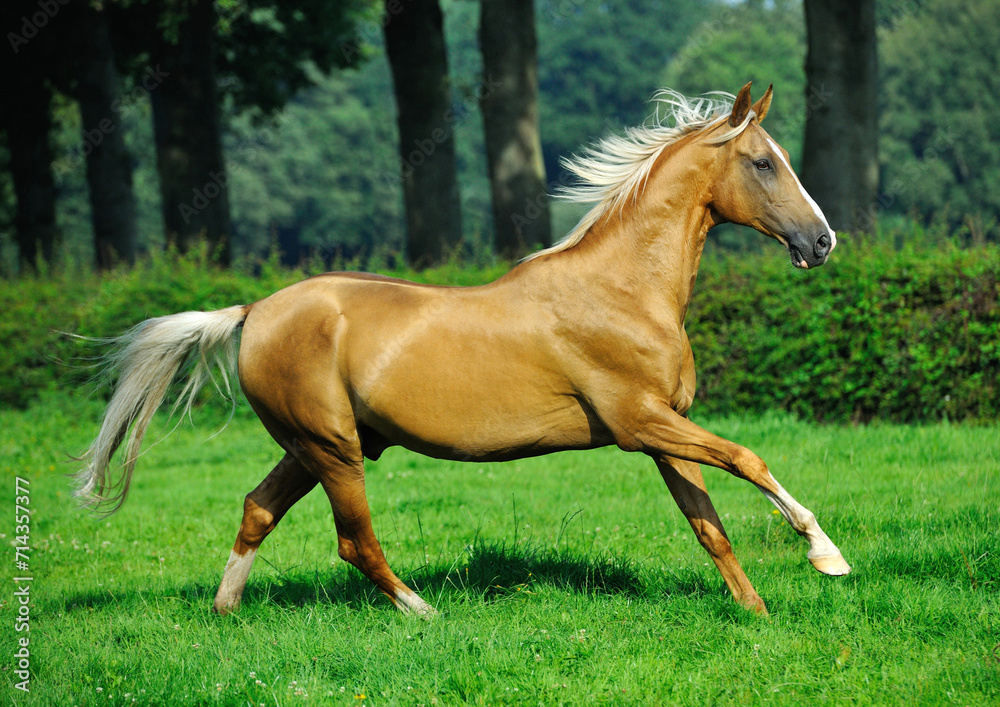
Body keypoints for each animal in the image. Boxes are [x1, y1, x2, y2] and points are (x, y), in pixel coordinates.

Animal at [76, 83, 849, 617]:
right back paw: (424, 612)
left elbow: (707, 523)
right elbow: (748, 458)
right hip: (334, 448)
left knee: (258, 509)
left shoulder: (663, 427)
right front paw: (826, 555)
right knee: (354, 540)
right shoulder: (639, 420)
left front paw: (755, 610)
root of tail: (253, 311)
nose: (822, 242)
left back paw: (226, 611)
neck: (622, 289)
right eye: (763, 163)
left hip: (311, 445)